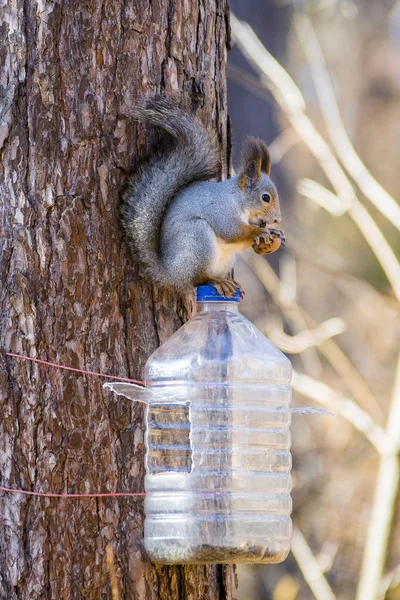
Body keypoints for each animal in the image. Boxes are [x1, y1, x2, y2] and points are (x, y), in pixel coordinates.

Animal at [120, 94, 286, 298]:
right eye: (265, 198)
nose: (278, 220)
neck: (238, 200)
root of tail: (171, 273)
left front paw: (275, 233)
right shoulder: (221, 211)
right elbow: (232, 232)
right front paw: (260, 232)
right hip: (198, 238)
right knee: (197, 279)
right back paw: (215, 281)